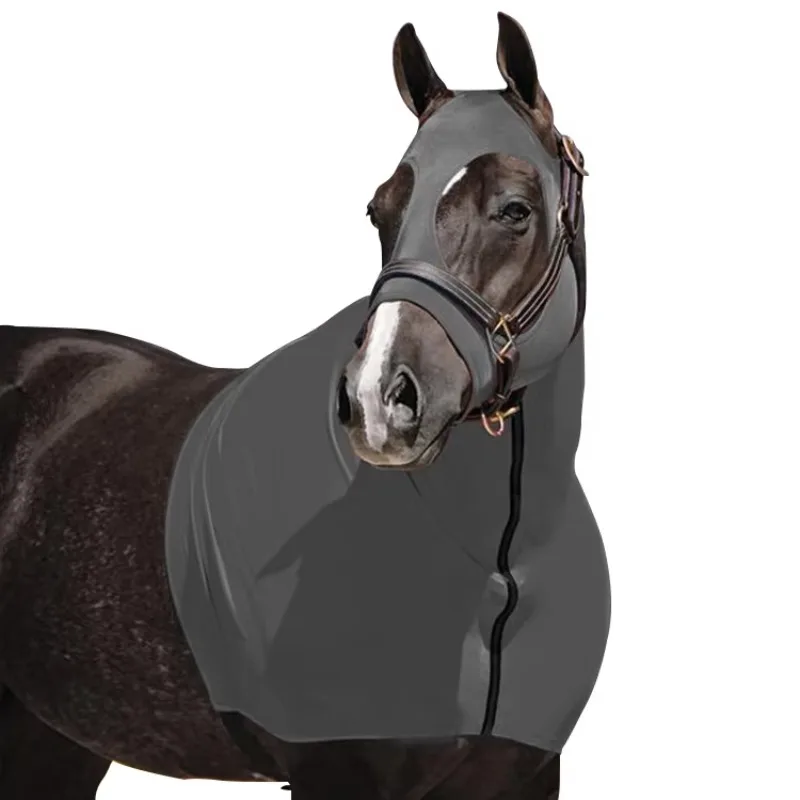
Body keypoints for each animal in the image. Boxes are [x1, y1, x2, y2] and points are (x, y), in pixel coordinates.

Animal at [0, 12, 608, 800]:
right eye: (380, 210)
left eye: (515, 210)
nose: (379, 400)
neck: (495, 561)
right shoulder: (334, 772)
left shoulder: (524, 775)